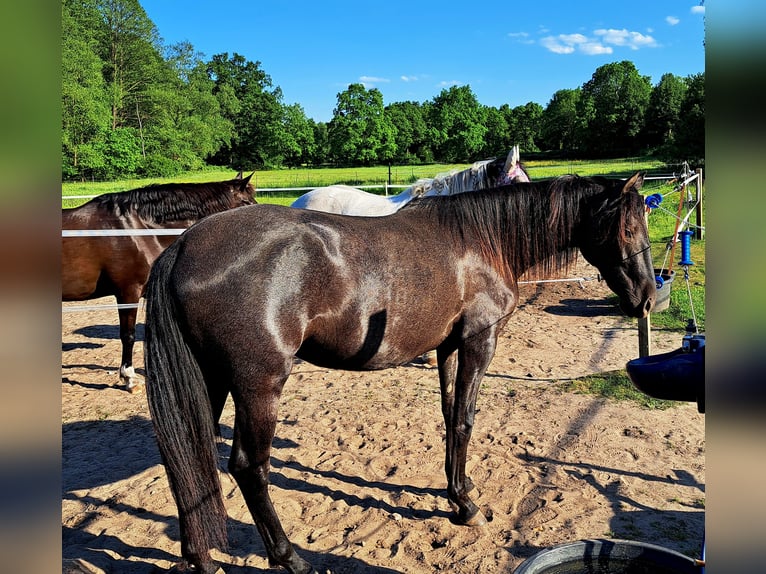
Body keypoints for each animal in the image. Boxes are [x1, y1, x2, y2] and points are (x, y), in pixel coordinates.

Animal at [142, 173, 656, 572]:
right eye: (630, 227)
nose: (649, 298)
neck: (481, 242)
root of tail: (182, 247)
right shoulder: (479, 342)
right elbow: (466, 420)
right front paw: (466, 506)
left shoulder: (448, 348)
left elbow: (450, 418)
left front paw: (458, 490)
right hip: (259, 386)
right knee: (249, 468)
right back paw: (291, 558)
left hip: (210, 381)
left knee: (189, 459)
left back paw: (200, 557)